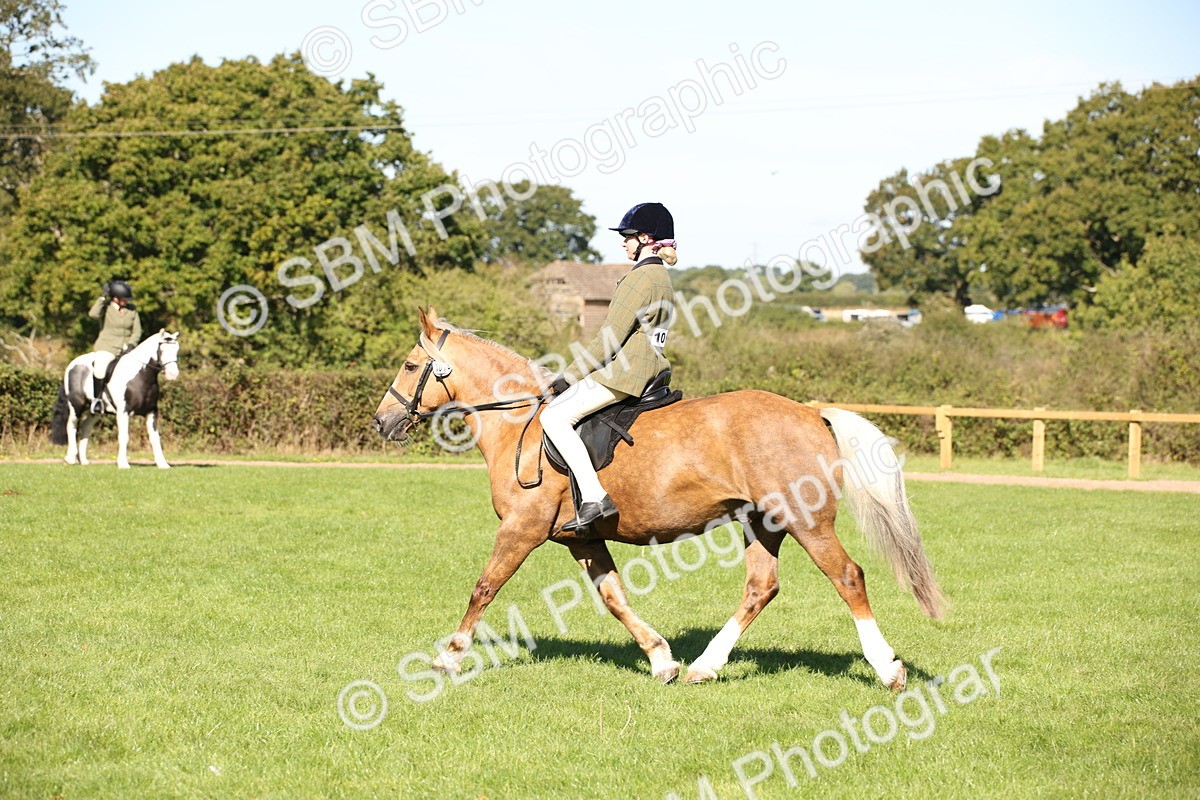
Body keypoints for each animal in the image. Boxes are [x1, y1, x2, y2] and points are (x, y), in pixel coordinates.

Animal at [50, 330, 181, 469]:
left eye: (177, 349)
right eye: (161, 350)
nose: (173, 374)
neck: (140, 376)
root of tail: (73, 364)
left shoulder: (151, 412)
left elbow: (155, 438)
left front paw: (162, 464)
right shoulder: (123, 412)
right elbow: (124, 436)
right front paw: (123, 463)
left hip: (94, 411)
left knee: (86, 426)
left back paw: (84, 460)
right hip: (76, 404)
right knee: (72, 426)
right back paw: (70, 458)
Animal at [372, 308, 943, 689]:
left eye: (408, 366)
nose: (381, 421)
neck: (521, 425)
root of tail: (811, 412)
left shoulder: (521, 529)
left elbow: (484, 589)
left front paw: (448, 658)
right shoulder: (580, 539)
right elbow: (614, 598)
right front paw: (661, 659)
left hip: (806, 522)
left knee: (847, 577)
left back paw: (887, 669)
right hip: (762, 522)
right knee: (760, 587)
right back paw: (704, 667)